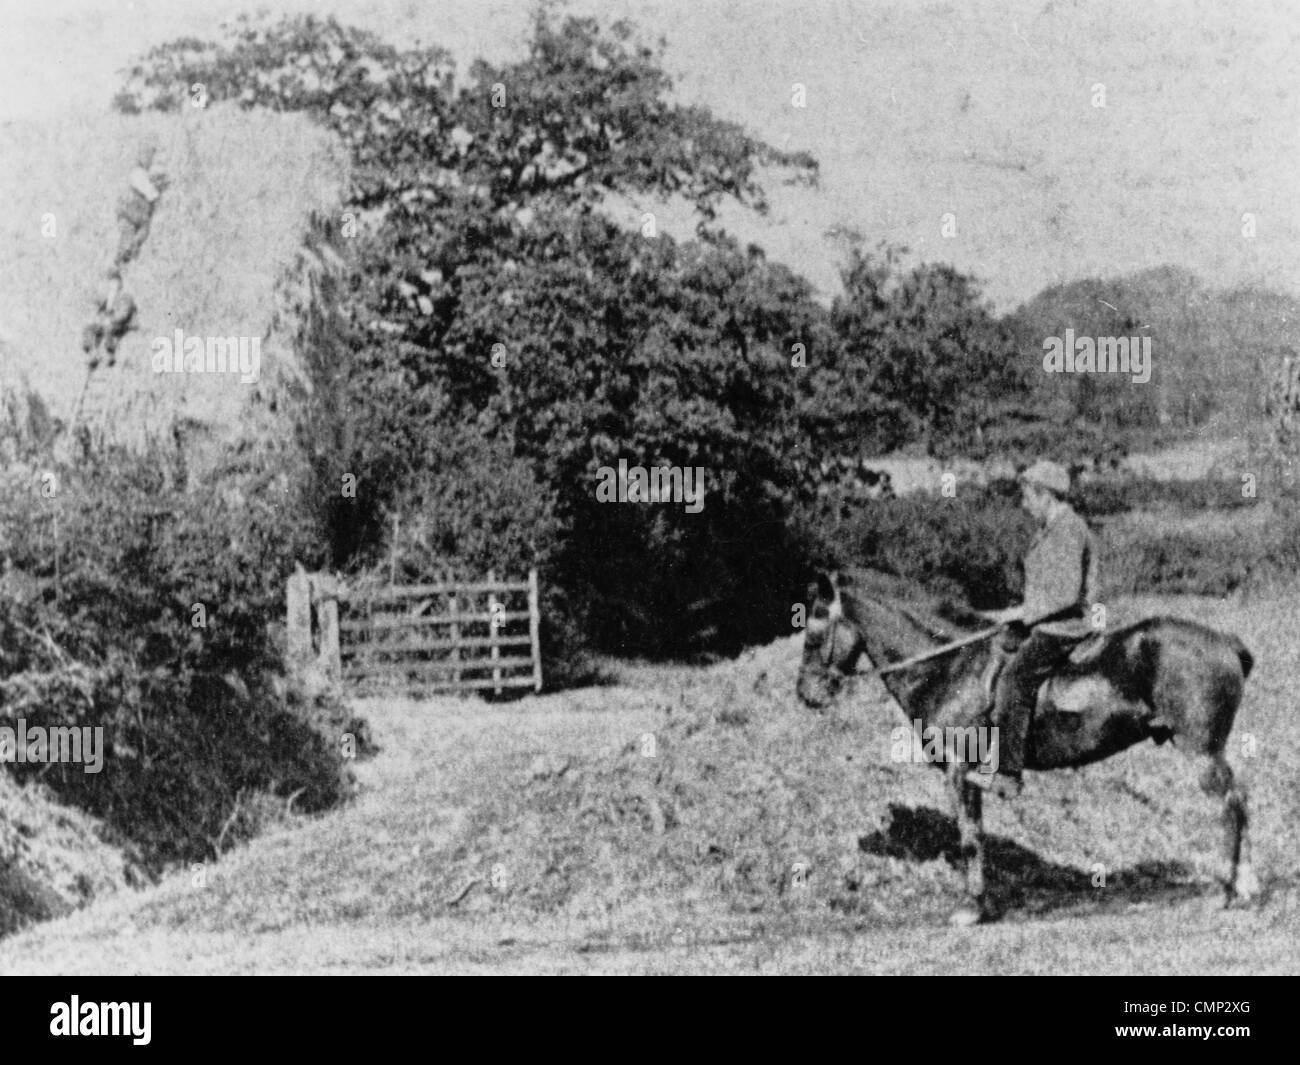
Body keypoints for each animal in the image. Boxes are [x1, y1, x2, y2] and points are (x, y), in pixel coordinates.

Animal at [790, 566, 1258, 925]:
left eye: (814, 626)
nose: (807, 694)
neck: (951, 665)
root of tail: (1224, 641)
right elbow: (975, 834)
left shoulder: (959, 771)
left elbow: (969, 838)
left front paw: (972, 908)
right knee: (1240, 800)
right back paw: (1246, 886)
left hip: (1201, 750)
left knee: (1229, 806)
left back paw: (1227, 891)